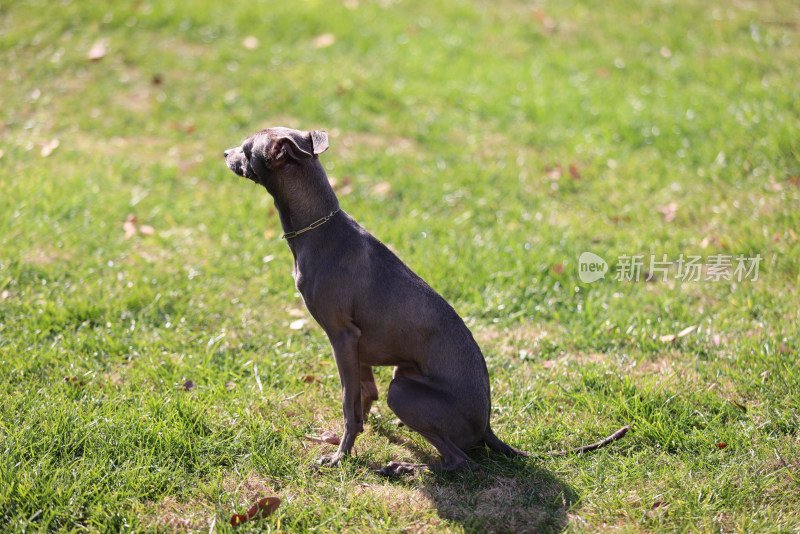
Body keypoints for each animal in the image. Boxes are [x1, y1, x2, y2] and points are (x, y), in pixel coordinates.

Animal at [222, 126, 628, 478]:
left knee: (461, 461)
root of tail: (487, 426)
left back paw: (404, 467)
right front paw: (353, 438)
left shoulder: (342, 336)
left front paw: (340, 456)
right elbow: (361, 397)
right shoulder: (357, 344)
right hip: (404, 378)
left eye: (246, 147)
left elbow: (348, 403)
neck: (320, 227)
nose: (224, 153)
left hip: (403, 391)